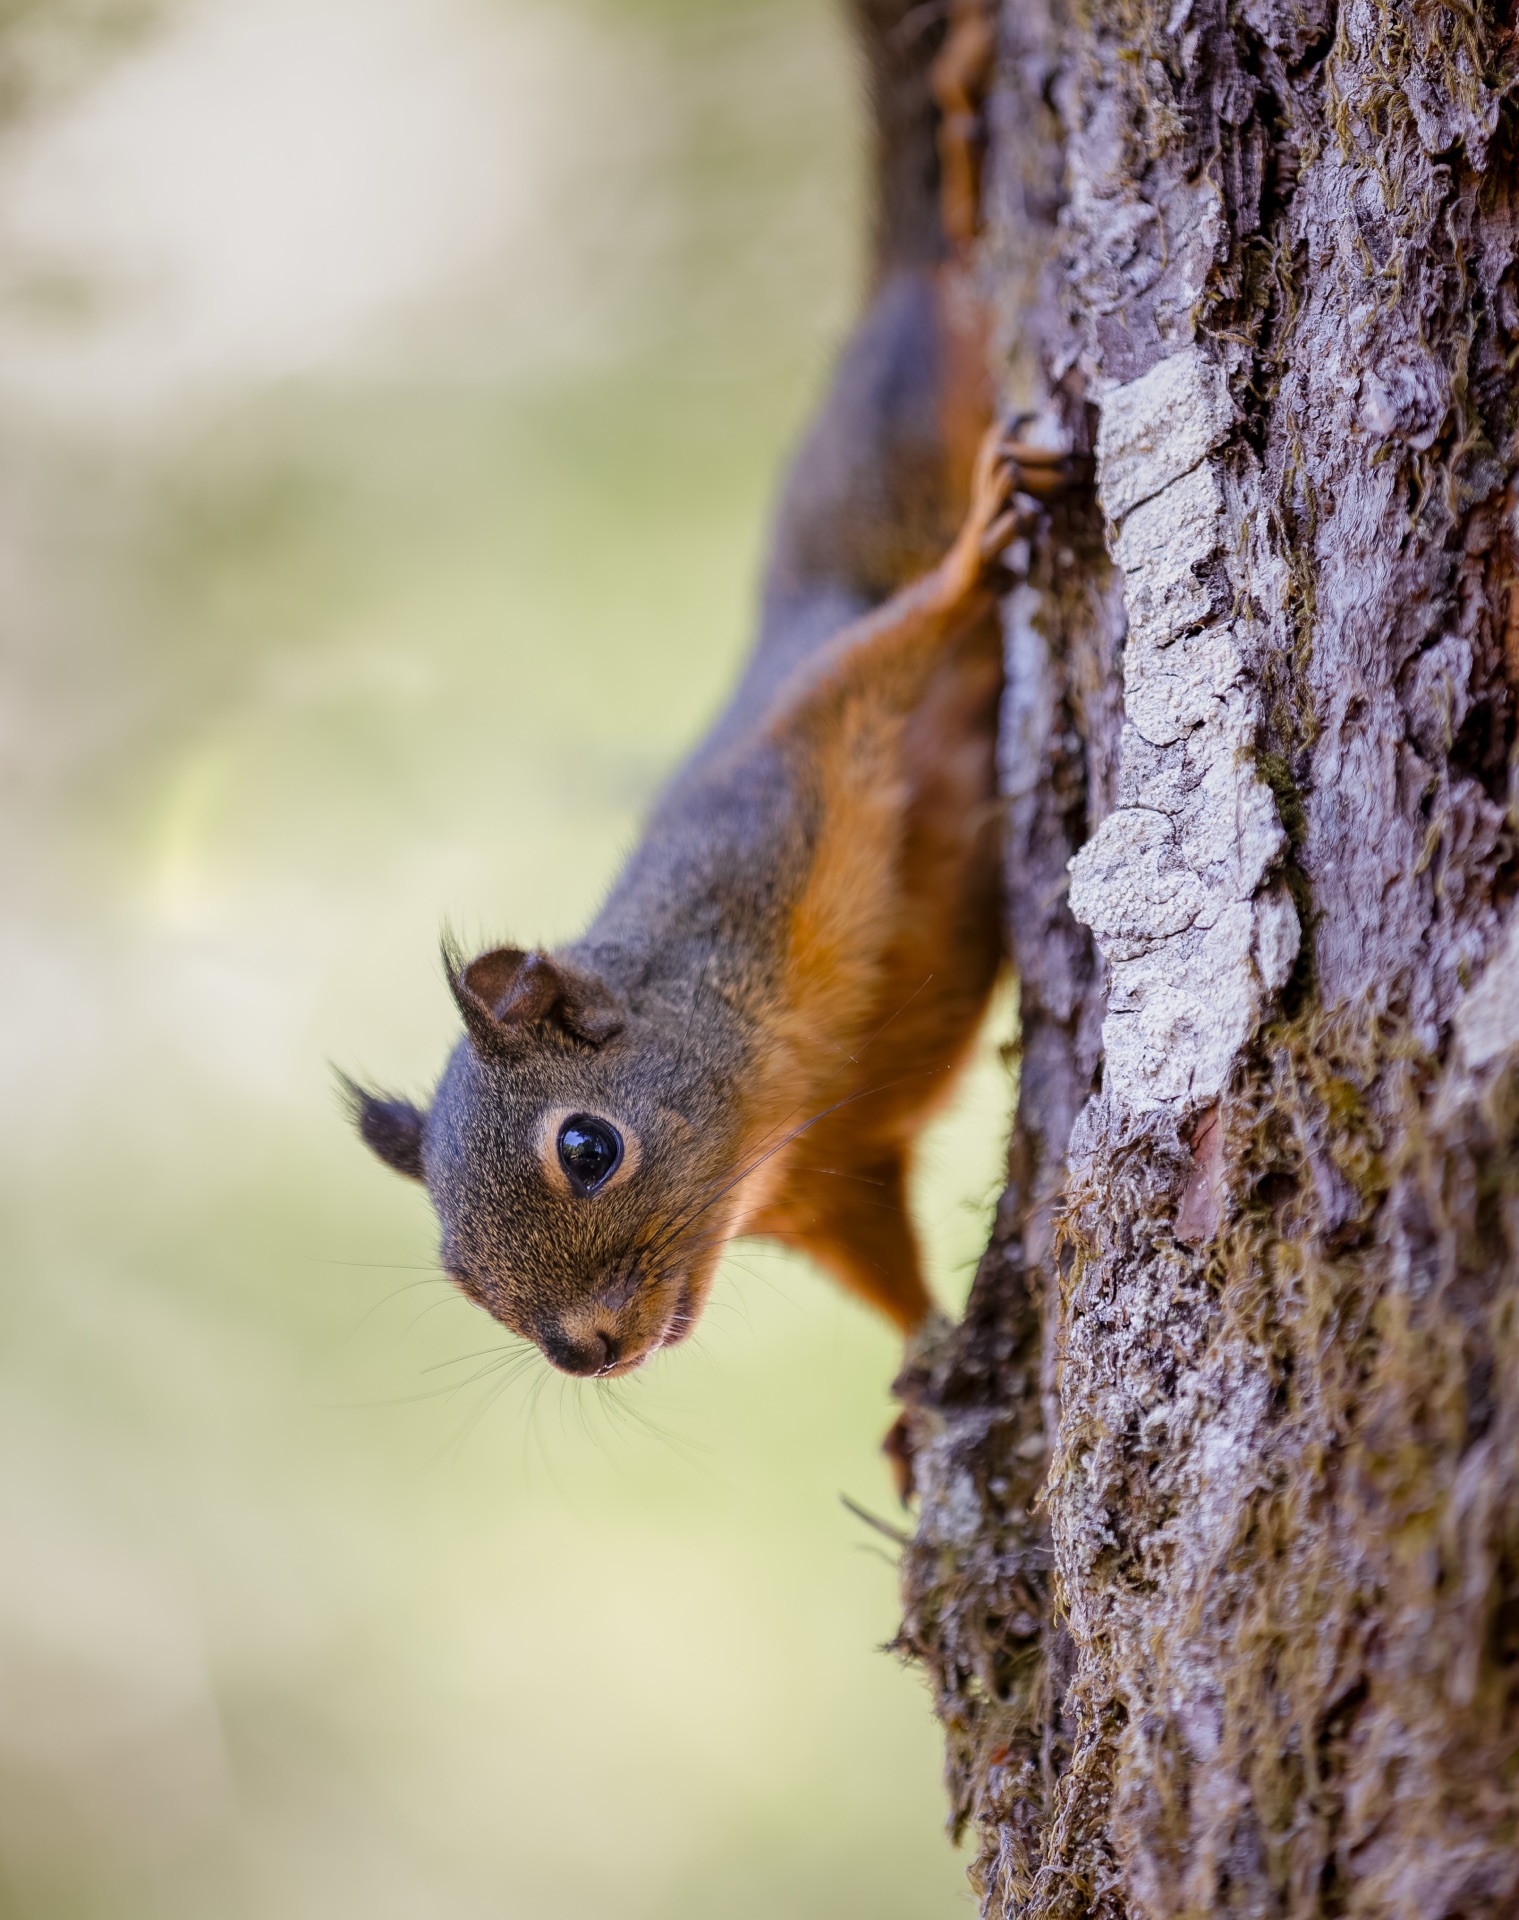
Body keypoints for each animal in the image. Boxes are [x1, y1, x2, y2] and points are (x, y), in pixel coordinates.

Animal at [350, 0, 1069, 1396]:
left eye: (587, 1149)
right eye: (461, 1276)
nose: (583, 1354)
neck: (782, 1098)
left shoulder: (776, 796)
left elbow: (880, 659)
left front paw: (970, 562)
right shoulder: (839, 1178)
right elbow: (885, 1269)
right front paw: (930, 1378)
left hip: (895, 415)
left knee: (940, 265)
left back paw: (960, 147)